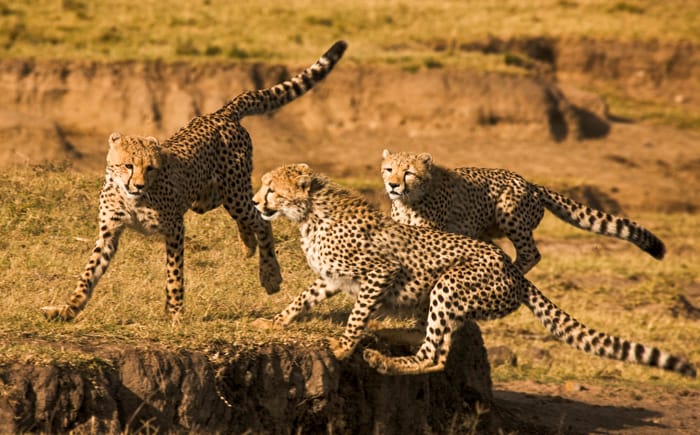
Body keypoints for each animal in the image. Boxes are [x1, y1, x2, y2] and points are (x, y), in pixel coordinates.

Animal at [41, 41, 348, 324]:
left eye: (150, 168)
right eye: (128, 165)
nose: (138, 185)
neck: (130, 198)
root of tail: (220, 113)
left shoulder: (175, 228)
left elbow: (174, 274)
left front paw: (175, 314)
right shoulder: (109, 232)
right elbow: (88, 274)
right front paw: (68, 309)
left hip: (233, 191)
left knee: (260, 219)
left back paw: (270, 275)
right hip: (207, 198)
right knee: (244, 215)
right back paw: (247, 244)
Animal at [252, 164, 696, 378]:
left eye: (271, 188)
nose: (256, 201)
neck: (310, 213)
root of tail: (513, 273)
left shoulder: (380, 271)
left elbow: (357, 314)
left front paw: (345, 347)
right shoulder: (330, 278)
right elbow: (302, 298)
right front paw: (274, 322)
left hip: (450, 284)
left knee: (432, 353)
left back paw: (385, 360)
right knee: (440, 349)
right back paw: (397, 340)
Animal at [380, 150, 664, 272]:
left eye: (408, 173)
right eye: (388, 169)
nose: (393, 185)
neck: (410, 199)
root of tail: (530, 183)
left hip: (510, 213)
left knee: (531, 254)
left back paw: (516, 271)